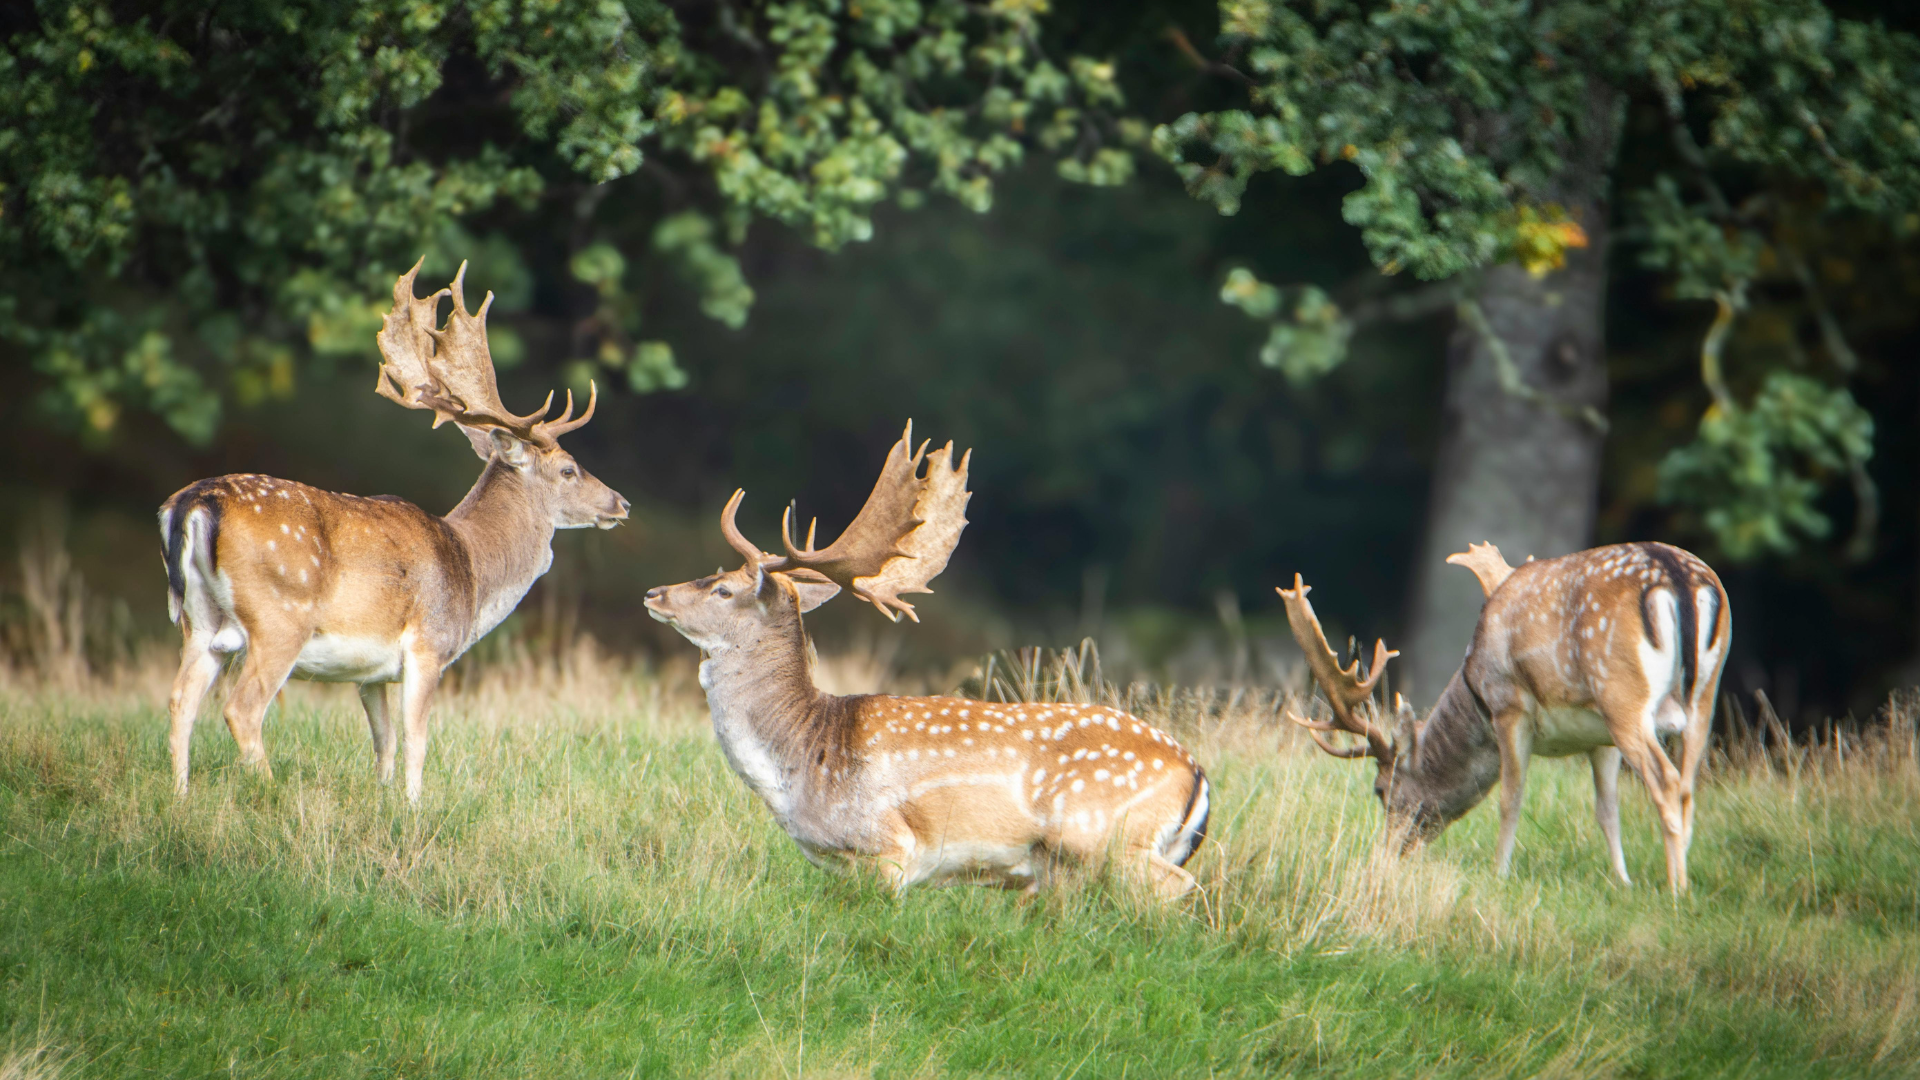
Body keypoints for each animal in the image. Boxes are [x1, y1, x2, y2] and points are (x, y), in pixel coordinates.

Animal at [159, 260, 629, 802]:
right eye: (570, 470)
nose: (621, 502)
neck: (472, 572)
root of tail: (193, 502)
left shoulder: (371, 674)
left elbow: (382, 741)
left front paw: (384, 799)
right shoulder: (428, 647)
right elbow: (415, 739)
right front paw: (414, 805)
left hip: (200, 622)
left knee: (180, 701)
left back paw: (180, 800)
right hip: (278, 618)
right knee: (241, 708)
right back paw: (269, 792)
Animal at [642, 423, 1211, 897]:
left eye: (722, 589)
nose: (654, 592)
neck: (803, 765)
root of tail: (1196, 774)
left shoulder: (887, 848)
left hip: (1104, 836)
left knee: (1178, 887)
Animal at [1278, 541, 1730, 892]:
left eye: (1380, 790)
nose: (1388, 853)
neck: (1475, 689)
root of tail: (1677, 575)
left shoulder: (1509, 705)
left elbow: (1510, 798)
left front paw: (1500, 874)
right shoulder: (1600, 738)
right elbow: (1608, 810)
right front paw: (1623, 880)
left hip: (1622, 691)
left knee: (1667, 781)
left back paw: (1676, 889)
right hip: (1701, 695)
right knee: (1687, 784)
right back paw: (1681, 874)